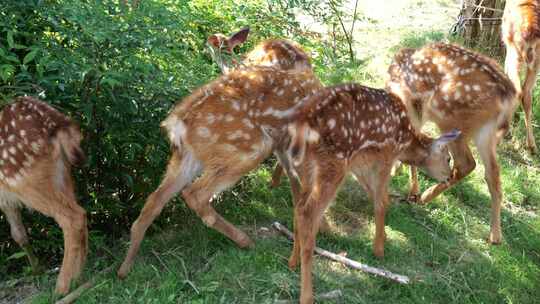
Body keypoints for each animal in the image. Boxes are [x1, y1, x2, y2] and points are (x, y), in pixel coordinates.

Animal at [0, 96, 86, 294]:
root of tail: (59, 124)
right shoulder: (6, 200)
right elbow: (18, 234)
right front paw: (37, 270)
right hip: (61, 173)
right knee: (81, 213)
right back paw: (77, 278)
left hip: (25, 179)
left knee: (73, 218)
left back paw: (61, 288)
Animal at [116, 65, 322, 280]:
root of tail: (179, 124)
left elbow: (299, 196)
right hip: (249, 148)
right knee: (195, 193)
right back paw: (246, 241)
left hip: (186, 158)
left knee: (154, 200)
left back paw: (124, 269)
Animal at [274, 83, 460, 304]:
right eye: (448, 158)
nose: (449, 177)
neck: (406, 141)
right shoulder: (387, 155)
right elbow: (382, 201)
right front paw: (379, 249)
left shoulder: (359, 164)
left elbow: (374, 195)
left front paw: (384, 237)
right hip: (333, 163)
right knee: (307, 212)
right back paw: (307, 295)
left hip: (306, 168)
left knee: (298, 206)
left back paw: (292, 261)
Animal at [386, 42, 516, 245]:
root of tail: (507, 96)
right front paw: (400, 173)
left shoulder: (411, 104)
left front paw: (410, 186)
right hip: (486, 132)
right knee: (493, 172)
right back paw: (495, 235)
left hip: (450, 116)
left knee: (467, 163)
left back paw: (425, 196)